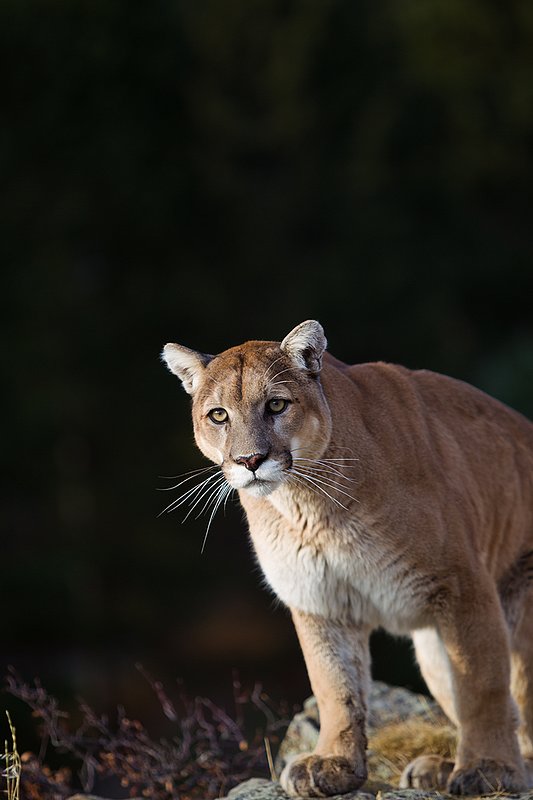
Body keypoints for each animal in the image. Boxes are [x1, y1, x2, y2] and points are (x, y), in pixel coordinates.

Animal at [162, 320, 533, 797]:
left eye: (276, 404)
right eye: (219, 415)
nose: (249, 459)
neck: (310, 503)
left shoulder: (462, 584)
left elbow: (482, 684)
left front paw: (489, 768)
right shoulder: (319, 599)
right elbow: (335, 686)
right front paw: (335, 763)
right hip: (432, 651)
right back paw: (436, 766)